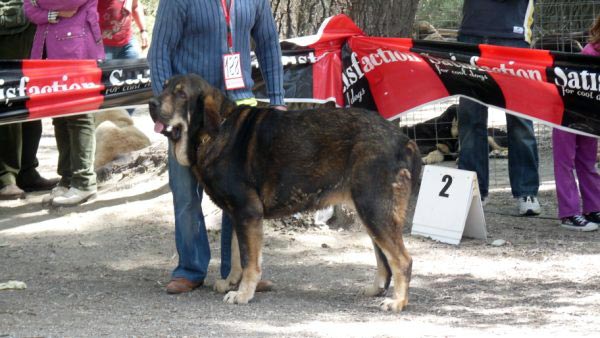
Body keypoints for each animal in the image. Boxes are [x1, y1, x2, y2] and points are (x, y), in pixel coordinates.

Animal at [149, 74, 422, 312]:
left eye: (181, 93)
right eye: (164, 86)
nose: (151, 103)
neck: (213, 133)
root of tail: (403, 139)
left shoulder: (247, 212)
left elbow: (249, 260)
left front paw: (243, 293)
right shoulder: (238, 215)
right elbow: (237, 255)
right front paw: (232, 283)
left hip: (374, 209)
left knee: (402, 260)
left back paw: (398, 302)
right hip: (369, 212)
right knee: (384, 259)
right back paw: (376, 290)